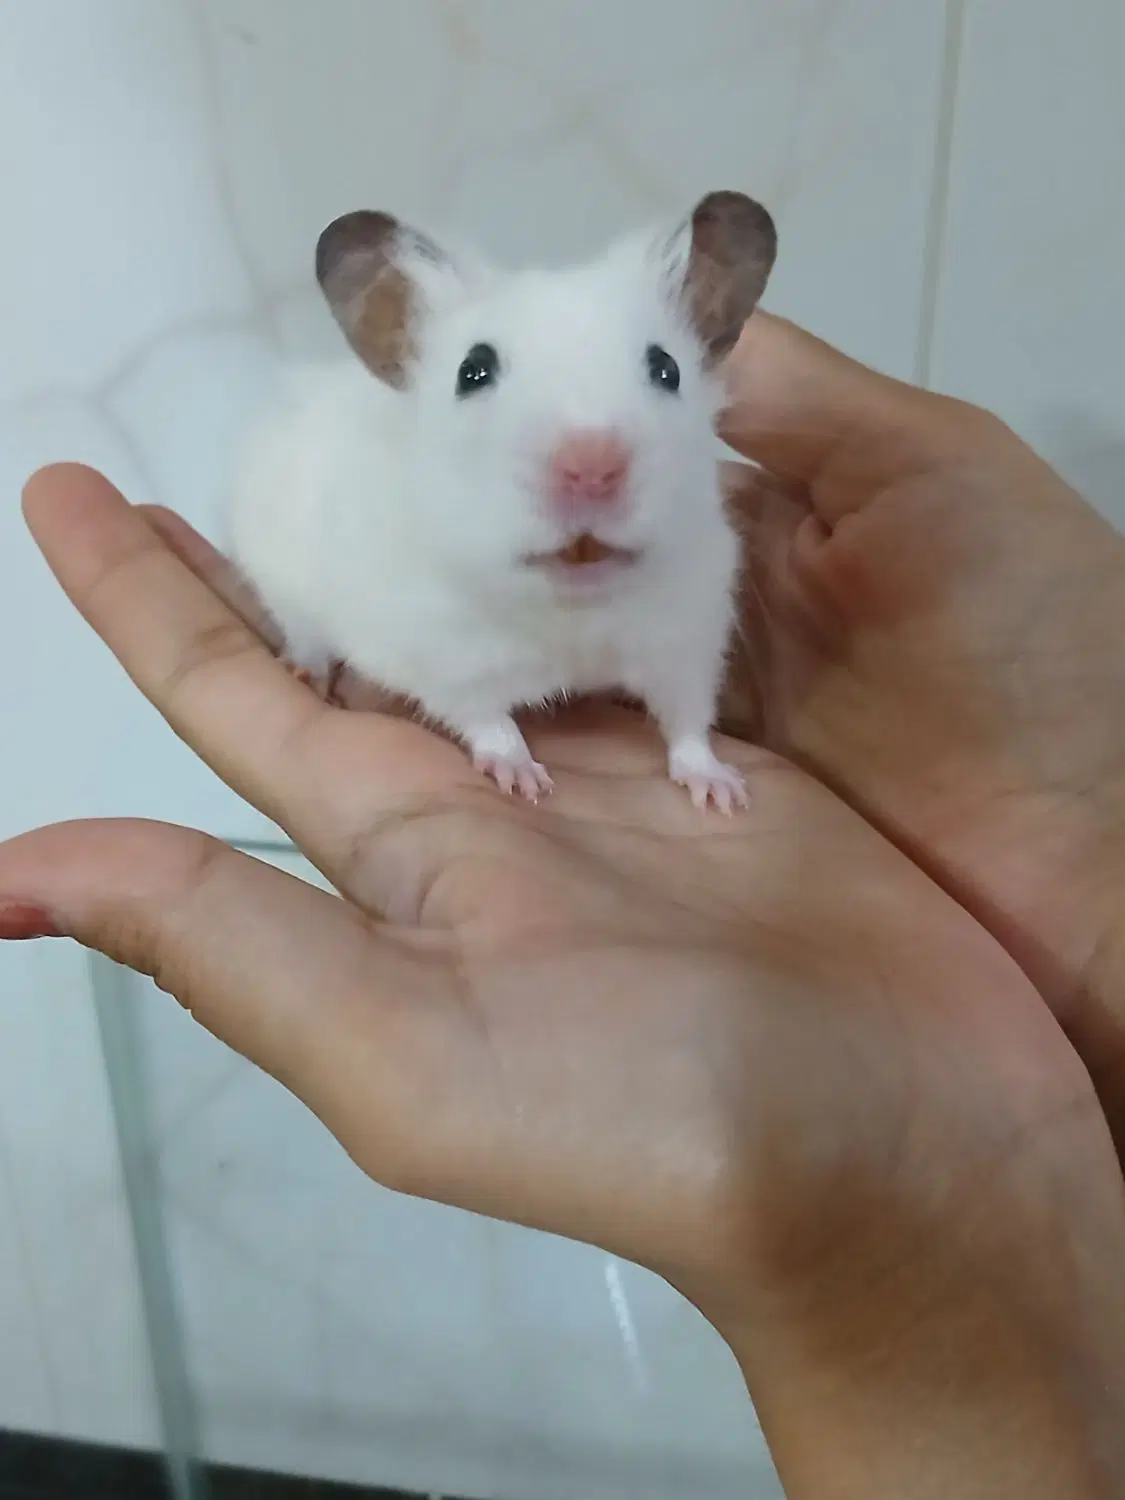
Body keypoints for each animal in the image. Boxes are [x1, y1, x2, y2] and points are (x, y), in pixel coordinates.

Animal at [227, 190, 777, 810]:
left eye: (667, 368)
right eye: (473, 370)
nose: (593, 466)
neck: (571, 611)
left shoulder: (691, 633)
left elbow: (688, 721)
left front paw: (724, 795)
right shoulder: (444, 658)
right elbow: (490, 722)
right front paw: (526, 783)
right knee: (304, 634)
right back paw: (305, 673)